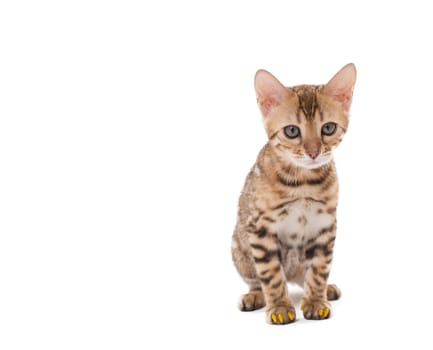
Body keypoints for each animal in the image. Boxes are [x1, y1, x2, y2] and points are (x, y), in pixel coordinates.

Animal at [230, 63, 354, 326]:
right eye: (291, 131)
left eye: (328, 128)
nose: (313, 152)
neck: (303, 183)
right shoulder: (260, 228)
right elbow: (271, 274)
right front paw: (279, 306)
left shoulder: (325, 226)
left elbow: (319, 270)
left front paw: (316, 301)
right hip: (239, 248)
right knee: (257, 280)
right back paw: (255, 296)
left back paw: (326, 289)